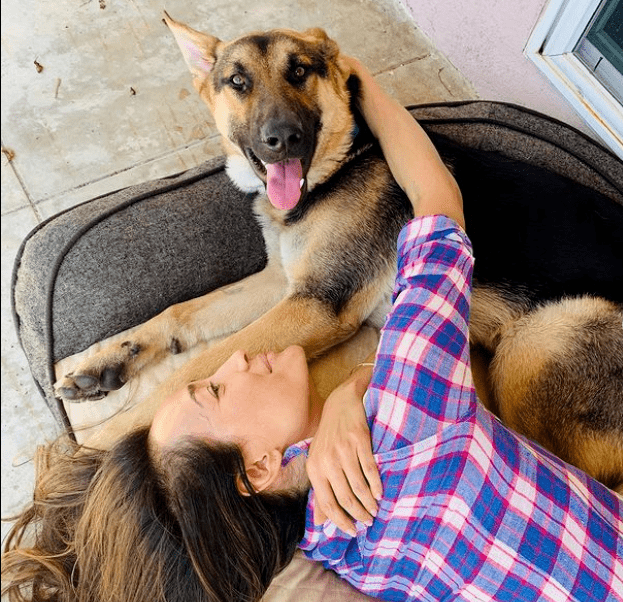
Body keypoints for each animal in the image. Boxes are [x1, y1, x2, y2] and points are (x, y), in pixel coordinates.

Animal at [54, 12, 623, 492]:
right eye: (238, 82)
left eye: (300, 70)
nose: (282, 139)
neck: (342, 161)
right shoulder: (283, 283)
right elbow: (181, 313)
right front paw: (104, 361)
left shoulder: (316, 304)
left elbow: (192, 371)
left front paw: (89, 447)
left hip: (536, 344)